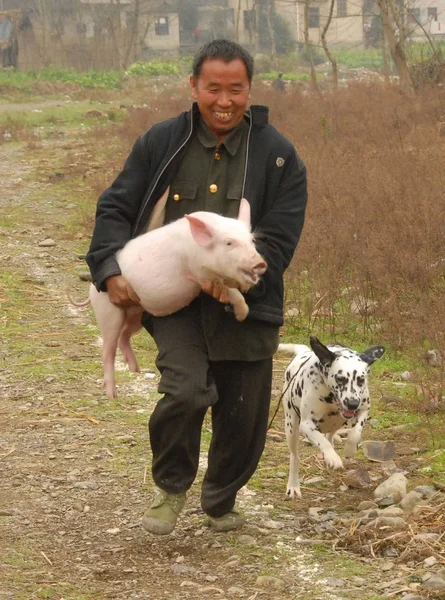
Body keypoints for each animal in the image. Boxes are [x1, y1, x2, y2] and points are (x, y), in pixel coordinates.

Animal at [74, 199, 266, 400]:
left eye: (252, 240)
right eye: (229, 243)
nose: (260, 263)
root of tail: (92, 290)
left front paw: (243, 311)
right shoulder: (200, 275)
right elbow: (230, 290)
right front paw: (241, 315)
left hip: (136, 313)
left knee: (124, 335)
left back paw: (135, 369)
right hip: (109, 312)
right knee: (107, 350)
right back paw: (112, 394)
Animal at [280, 336, 384, 500]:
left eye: (361, 379)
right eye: (340, 378)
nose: (352, 404)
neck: (331, 398)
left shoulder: (363, 410)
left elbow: (355, 433)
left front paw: (349, 450)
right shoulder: (306, 424)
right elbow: (321, 441)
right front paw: (333, 458)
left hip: (335, 423)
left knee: (330, 436)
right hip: (291, 427)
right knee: (295, 456)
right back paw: (293, 486)